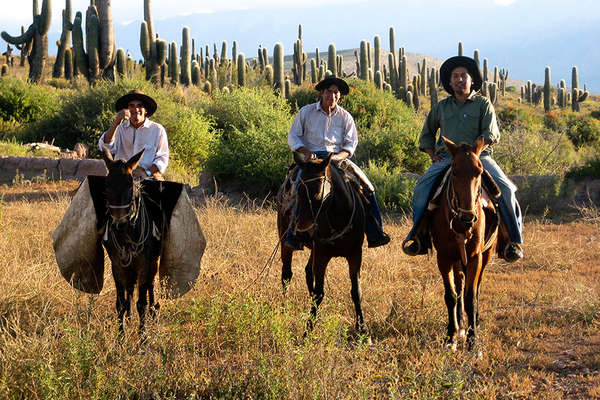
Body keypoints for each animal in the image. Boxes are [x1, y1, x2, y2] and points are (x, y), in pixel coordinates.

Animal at [278, 152, 370, 336]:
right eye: (297, 191)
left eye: (317, 193)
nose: (300, 227)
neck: (339, 218)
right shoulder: (322, 256)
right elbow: (319, 293)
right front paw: (308, 332)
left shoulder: (355, 254)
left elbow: (356, 292)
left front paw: (363, 331)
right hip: (285, 242)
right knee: (286, 275)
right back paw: (284, 309)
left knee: (307, 272)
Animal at [432, 137, 502, 350]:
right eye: (454, 171)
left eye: (479, 171)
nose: (468, 217)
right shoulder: (444, 258)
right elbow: (451, 295)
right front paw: (451, 336)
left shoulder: (475, 257)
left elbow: (471, 297)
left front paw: (473, 342)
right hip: (457, 260)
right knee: (459, 286)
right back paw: (461, 325)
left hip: (486, 256)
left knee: (476, 290)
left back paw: (474, 322)